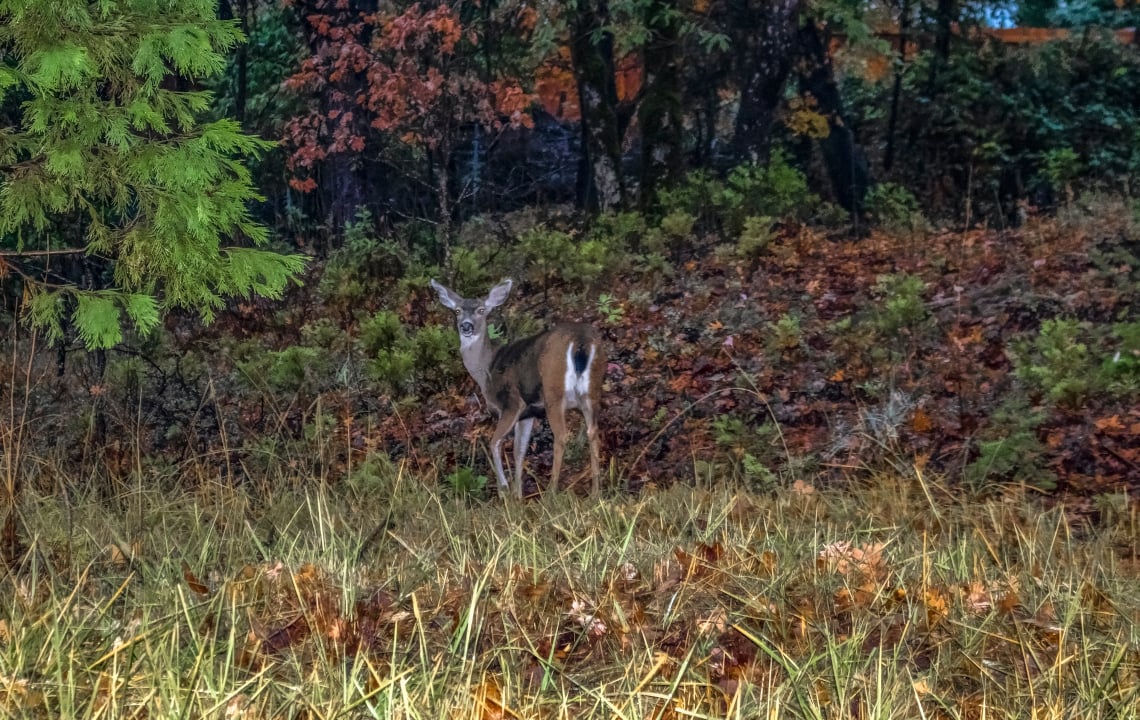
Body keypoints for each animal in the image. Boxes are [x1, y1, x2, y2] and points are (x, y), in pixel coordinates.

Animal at [428, 277, 606, 496]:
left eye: (481, 310)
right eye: (458, 310)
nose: (466, 326)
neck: (487, 369)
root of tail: (581, 341)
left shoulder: (512, 403)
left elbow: (495, 443)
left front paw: (504, 489)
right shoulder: (528, 414)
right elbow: (519, 450)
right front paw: (518, 494)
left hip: (553, 390)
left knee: (561, 436)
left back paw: (550, 492)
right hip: (593, 390)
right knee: (593, 432)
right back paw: (596, 493)